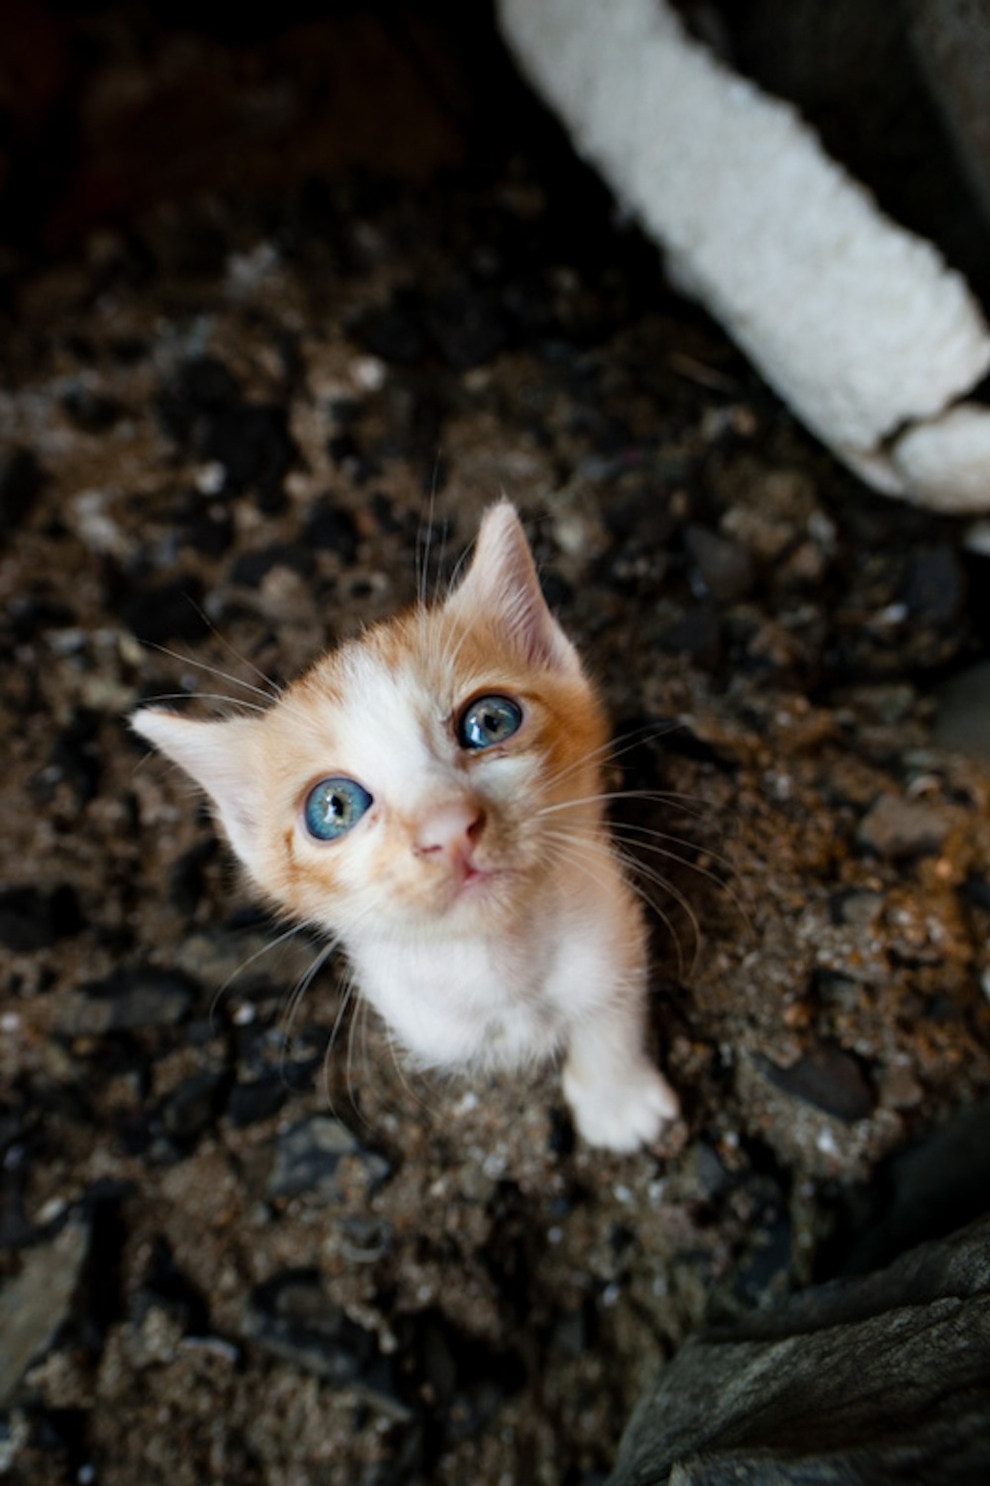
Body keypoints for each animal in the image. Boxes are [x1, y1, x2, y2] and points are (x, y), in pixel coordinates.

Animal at [133, 505, 677, 1153]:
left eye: (491, 721)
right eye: (334, 807)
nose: (449, 828)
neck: (504, 972)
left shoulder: (613, 930)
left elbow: (610, 1010)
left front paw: (617, 1101)